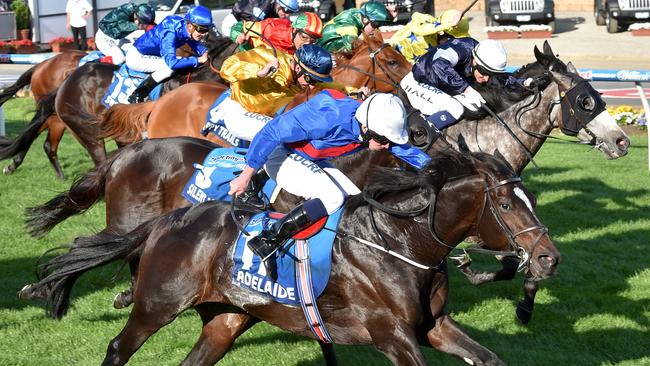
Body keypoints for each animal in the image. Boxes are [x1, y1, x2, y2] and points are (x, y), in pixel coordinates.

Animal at [0, 50, 85, 179]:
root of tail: (43, 64)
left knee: (31, 133)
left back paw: (12, 166)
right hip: (56, 114)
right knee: (47, 143)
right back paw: (61, 177)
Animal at [19, 149, 556, 366]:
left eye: (529, 196)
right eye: (507, 204)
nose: (549, 258)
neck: (401, 244)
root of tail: (168, 221)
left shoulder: (434, 327)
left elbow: (488, 358)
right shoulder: (393, 336)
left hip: (227, 318)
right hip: (157, 304)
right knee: (117, 348)